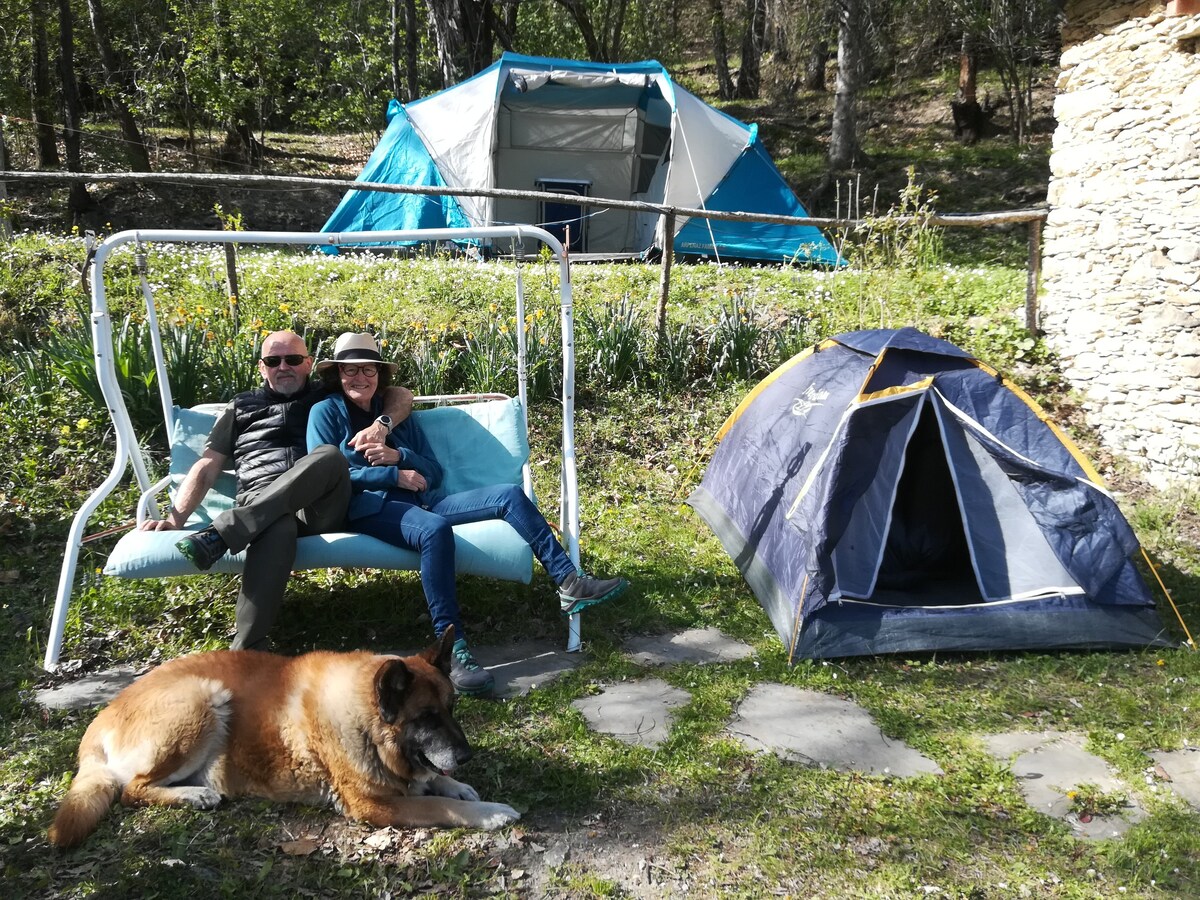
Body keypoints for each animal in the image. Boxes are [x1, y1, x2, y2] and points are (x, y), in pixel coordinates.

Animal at [48, 628, 516, 849]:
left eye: (452, 708)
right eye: (426, 717)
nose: (467, 755)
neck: (365, 720)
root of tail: (100, 719)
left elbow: (433, 780)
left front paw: (458, 784)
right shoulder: (375, 807)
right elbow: (439, 805)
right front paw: (491, 811)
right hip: (203, 699)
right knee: (132, 790)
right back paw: (194, 796)